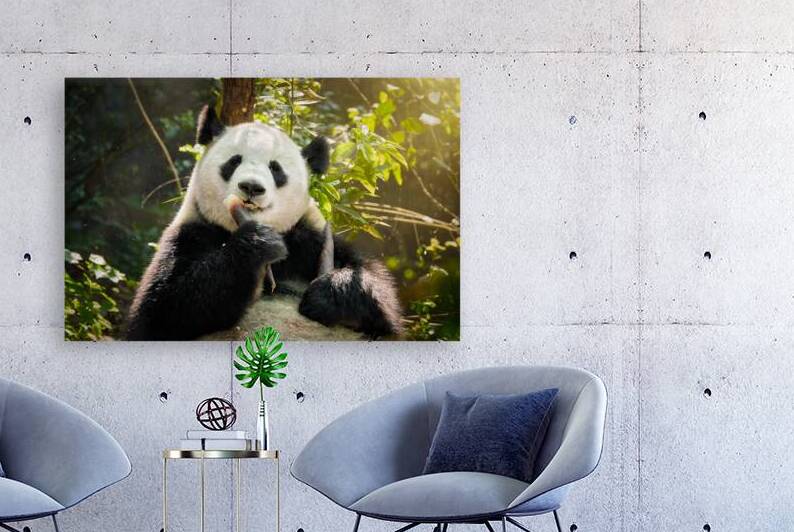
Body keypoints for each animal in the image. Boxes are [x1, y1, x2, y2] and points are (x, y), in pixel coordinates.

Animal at [126, 105, 403, 341]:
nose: (251, 187)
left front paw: (327, 294)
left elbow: (377, 292)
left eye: (275, 169)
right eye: (234, 161)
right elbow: (160, 311)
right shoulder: (191, 232)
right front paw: (258, 243)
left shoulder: (312, 238)